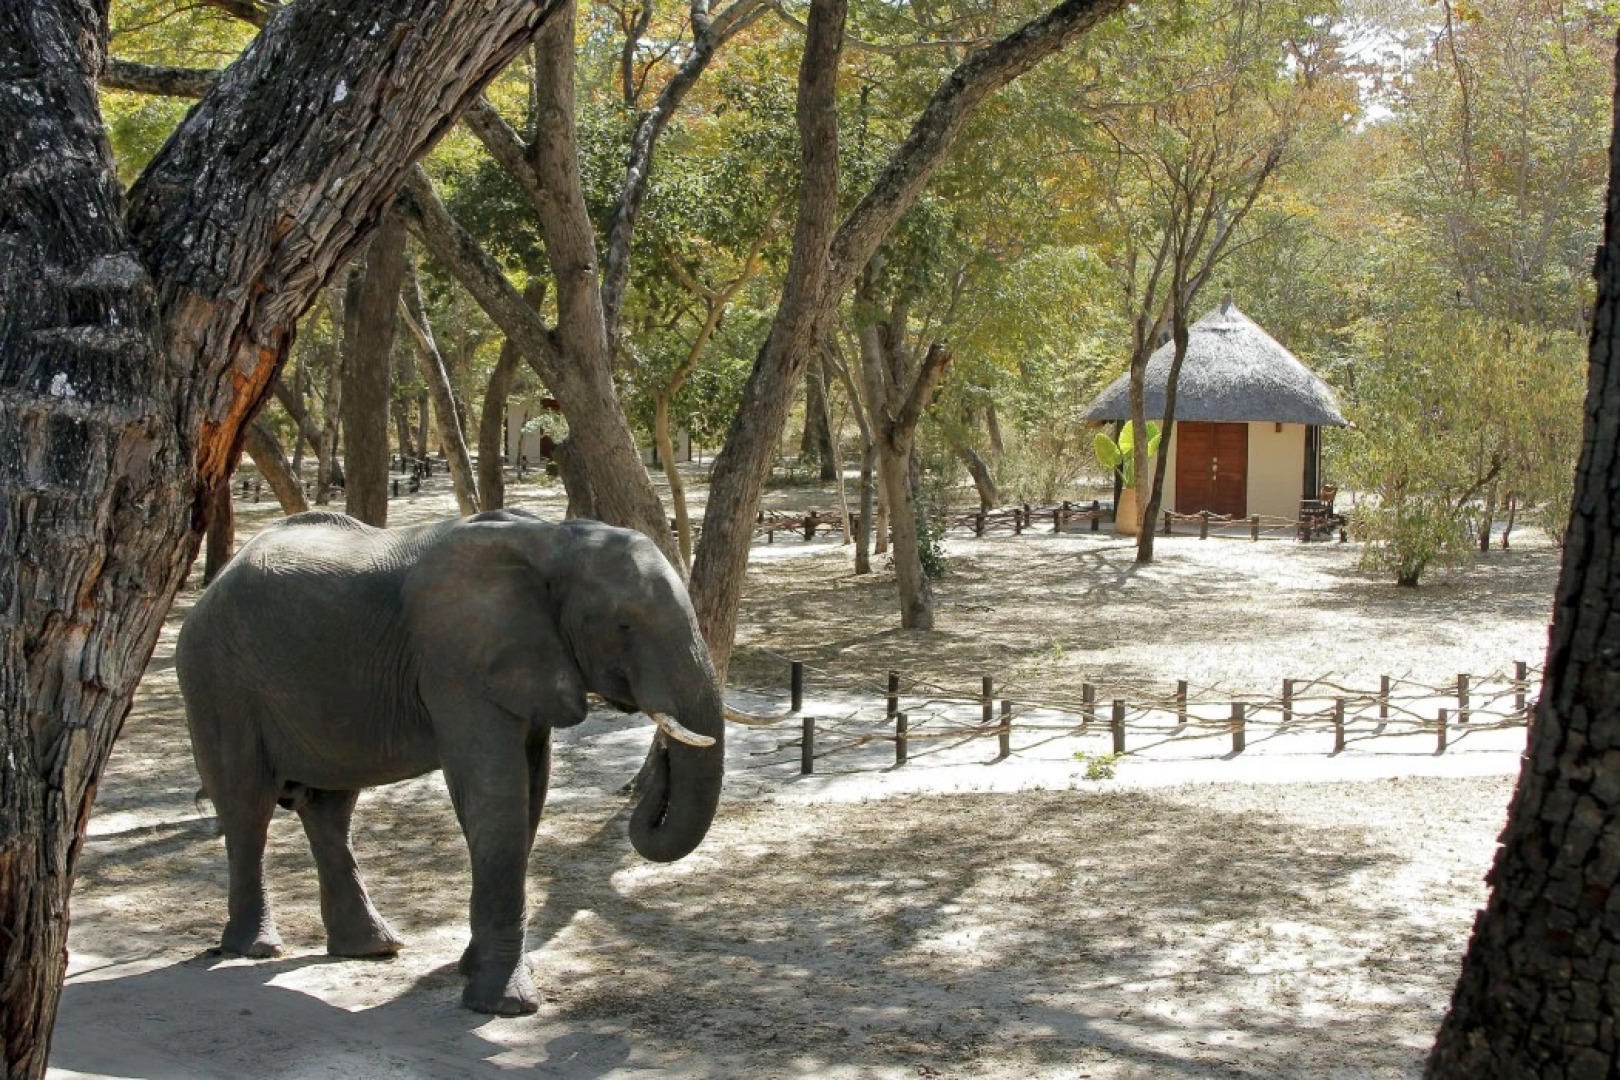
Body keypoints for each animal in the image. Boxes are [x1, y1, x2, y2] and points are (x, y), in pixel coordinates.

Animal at [177, 509, 733, 1015]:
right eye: (623, 623)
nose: (662, 764)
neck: (553, 538)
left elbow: (528, 795)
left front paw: (473, 969)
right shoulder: (456, 662)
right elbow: (495, 795)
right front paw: (504, 1005)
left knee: (329, 811)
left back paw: (372, 947)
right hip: (216, 679)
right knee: (247, 808)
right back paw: (256, 948)